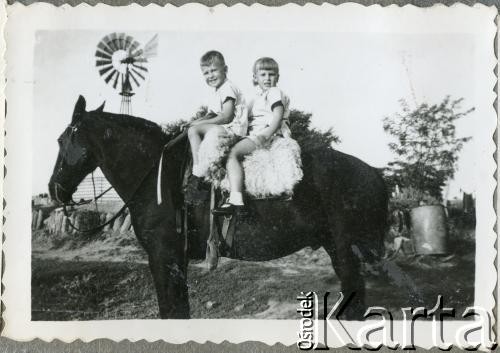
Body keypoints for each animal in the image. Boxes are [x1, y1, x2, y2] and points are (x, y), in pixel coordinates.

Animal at [48, 96, 388, 320]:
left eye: (64, 139)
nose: (54, 189)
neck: (159, 177)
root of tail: (373, 171)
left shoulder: (164, 257)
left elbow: (172, 310)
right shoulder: (174, 260)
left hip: (344, 249)